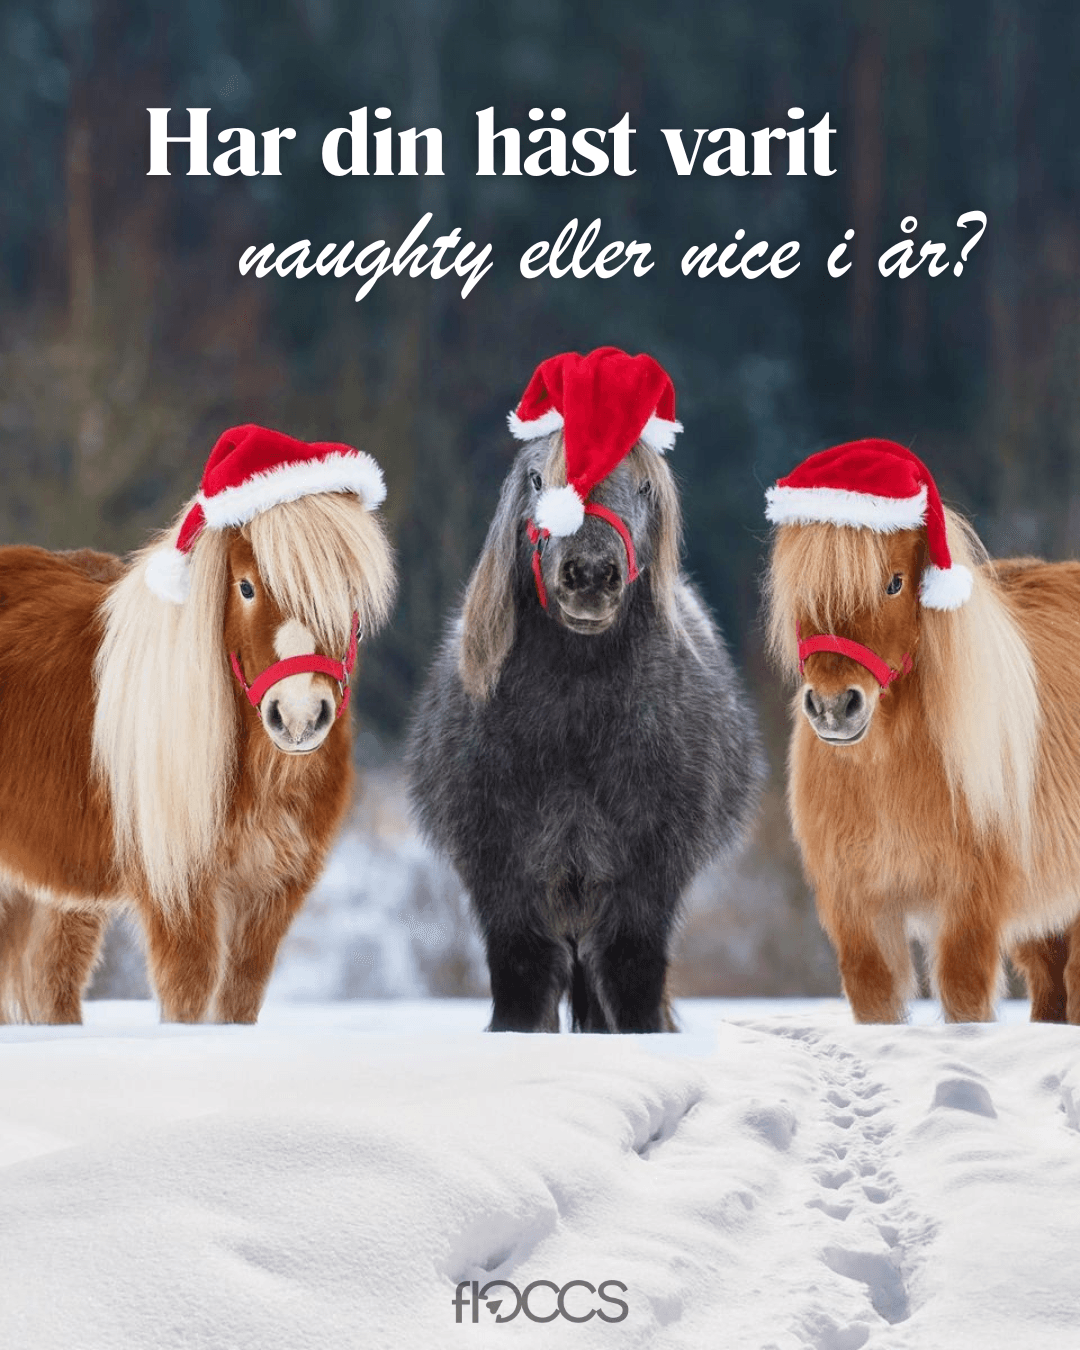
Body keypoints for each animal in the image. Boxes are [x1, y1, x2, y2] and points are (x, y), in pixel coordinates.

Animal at [0, 485, 394, 1024]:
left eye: (346, 589)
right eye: (246, 588)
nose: (299, 716)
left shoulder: (271, 892)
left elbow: (239, 996)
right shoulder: (179, 889)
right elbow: (189, 993)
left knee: (52, 982)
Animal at [406, 431, 764, 1032]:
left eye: (643, 486)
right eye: (537, 479)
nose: (591, 574)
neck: (573, 730)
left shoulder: (648, 875)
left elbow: (631, 974)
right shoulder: (501, 874)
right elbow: (523, 979)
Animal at [765, 443, 1080, 1024]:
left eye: (894, 582)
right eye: (801, 585)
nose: (834, 707)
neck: (889, 775)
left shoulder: (970, 909)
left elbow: (963, 999)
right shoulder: (859, 914)